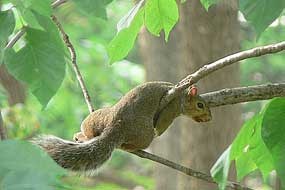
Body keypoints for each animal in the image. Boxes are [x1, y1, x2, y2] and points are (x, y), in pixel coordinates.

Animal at [33, 81, 211, 172]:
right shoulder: (172, 106)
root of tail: (115, 127)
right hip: (144, 134)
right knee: (139, 142)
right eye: (200, 105)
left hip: (96, 118)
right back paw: (128, 146)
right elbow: (162, 125)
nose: (209, 118)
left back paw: (81, 136)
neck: (182, 95)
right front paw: (158, 132)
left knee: (89, 132)